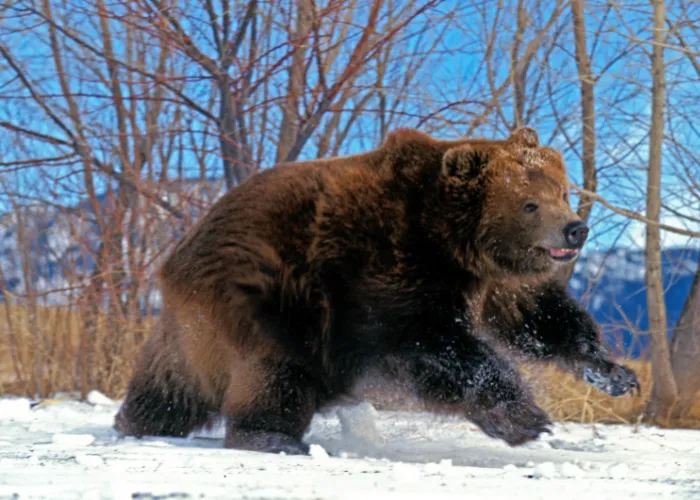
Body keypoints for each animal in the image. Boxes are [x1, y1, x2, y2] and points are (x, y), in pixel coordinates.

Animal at [113, 126, 640, 454]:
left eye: (562, 190)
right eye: (530, 203)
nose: (575, 229)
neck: (455, 245)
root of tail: (175, 258)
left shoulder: (498, 283)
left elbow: (542, 320)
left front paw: (613, 372)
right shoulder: (387, 270)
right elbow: (436, 347)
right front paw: (525, 415)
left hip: (196, 329)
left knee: (169, 381)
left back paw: (137, 420)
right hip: (267, 297)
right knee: (274, 372)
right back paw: (274, 437)